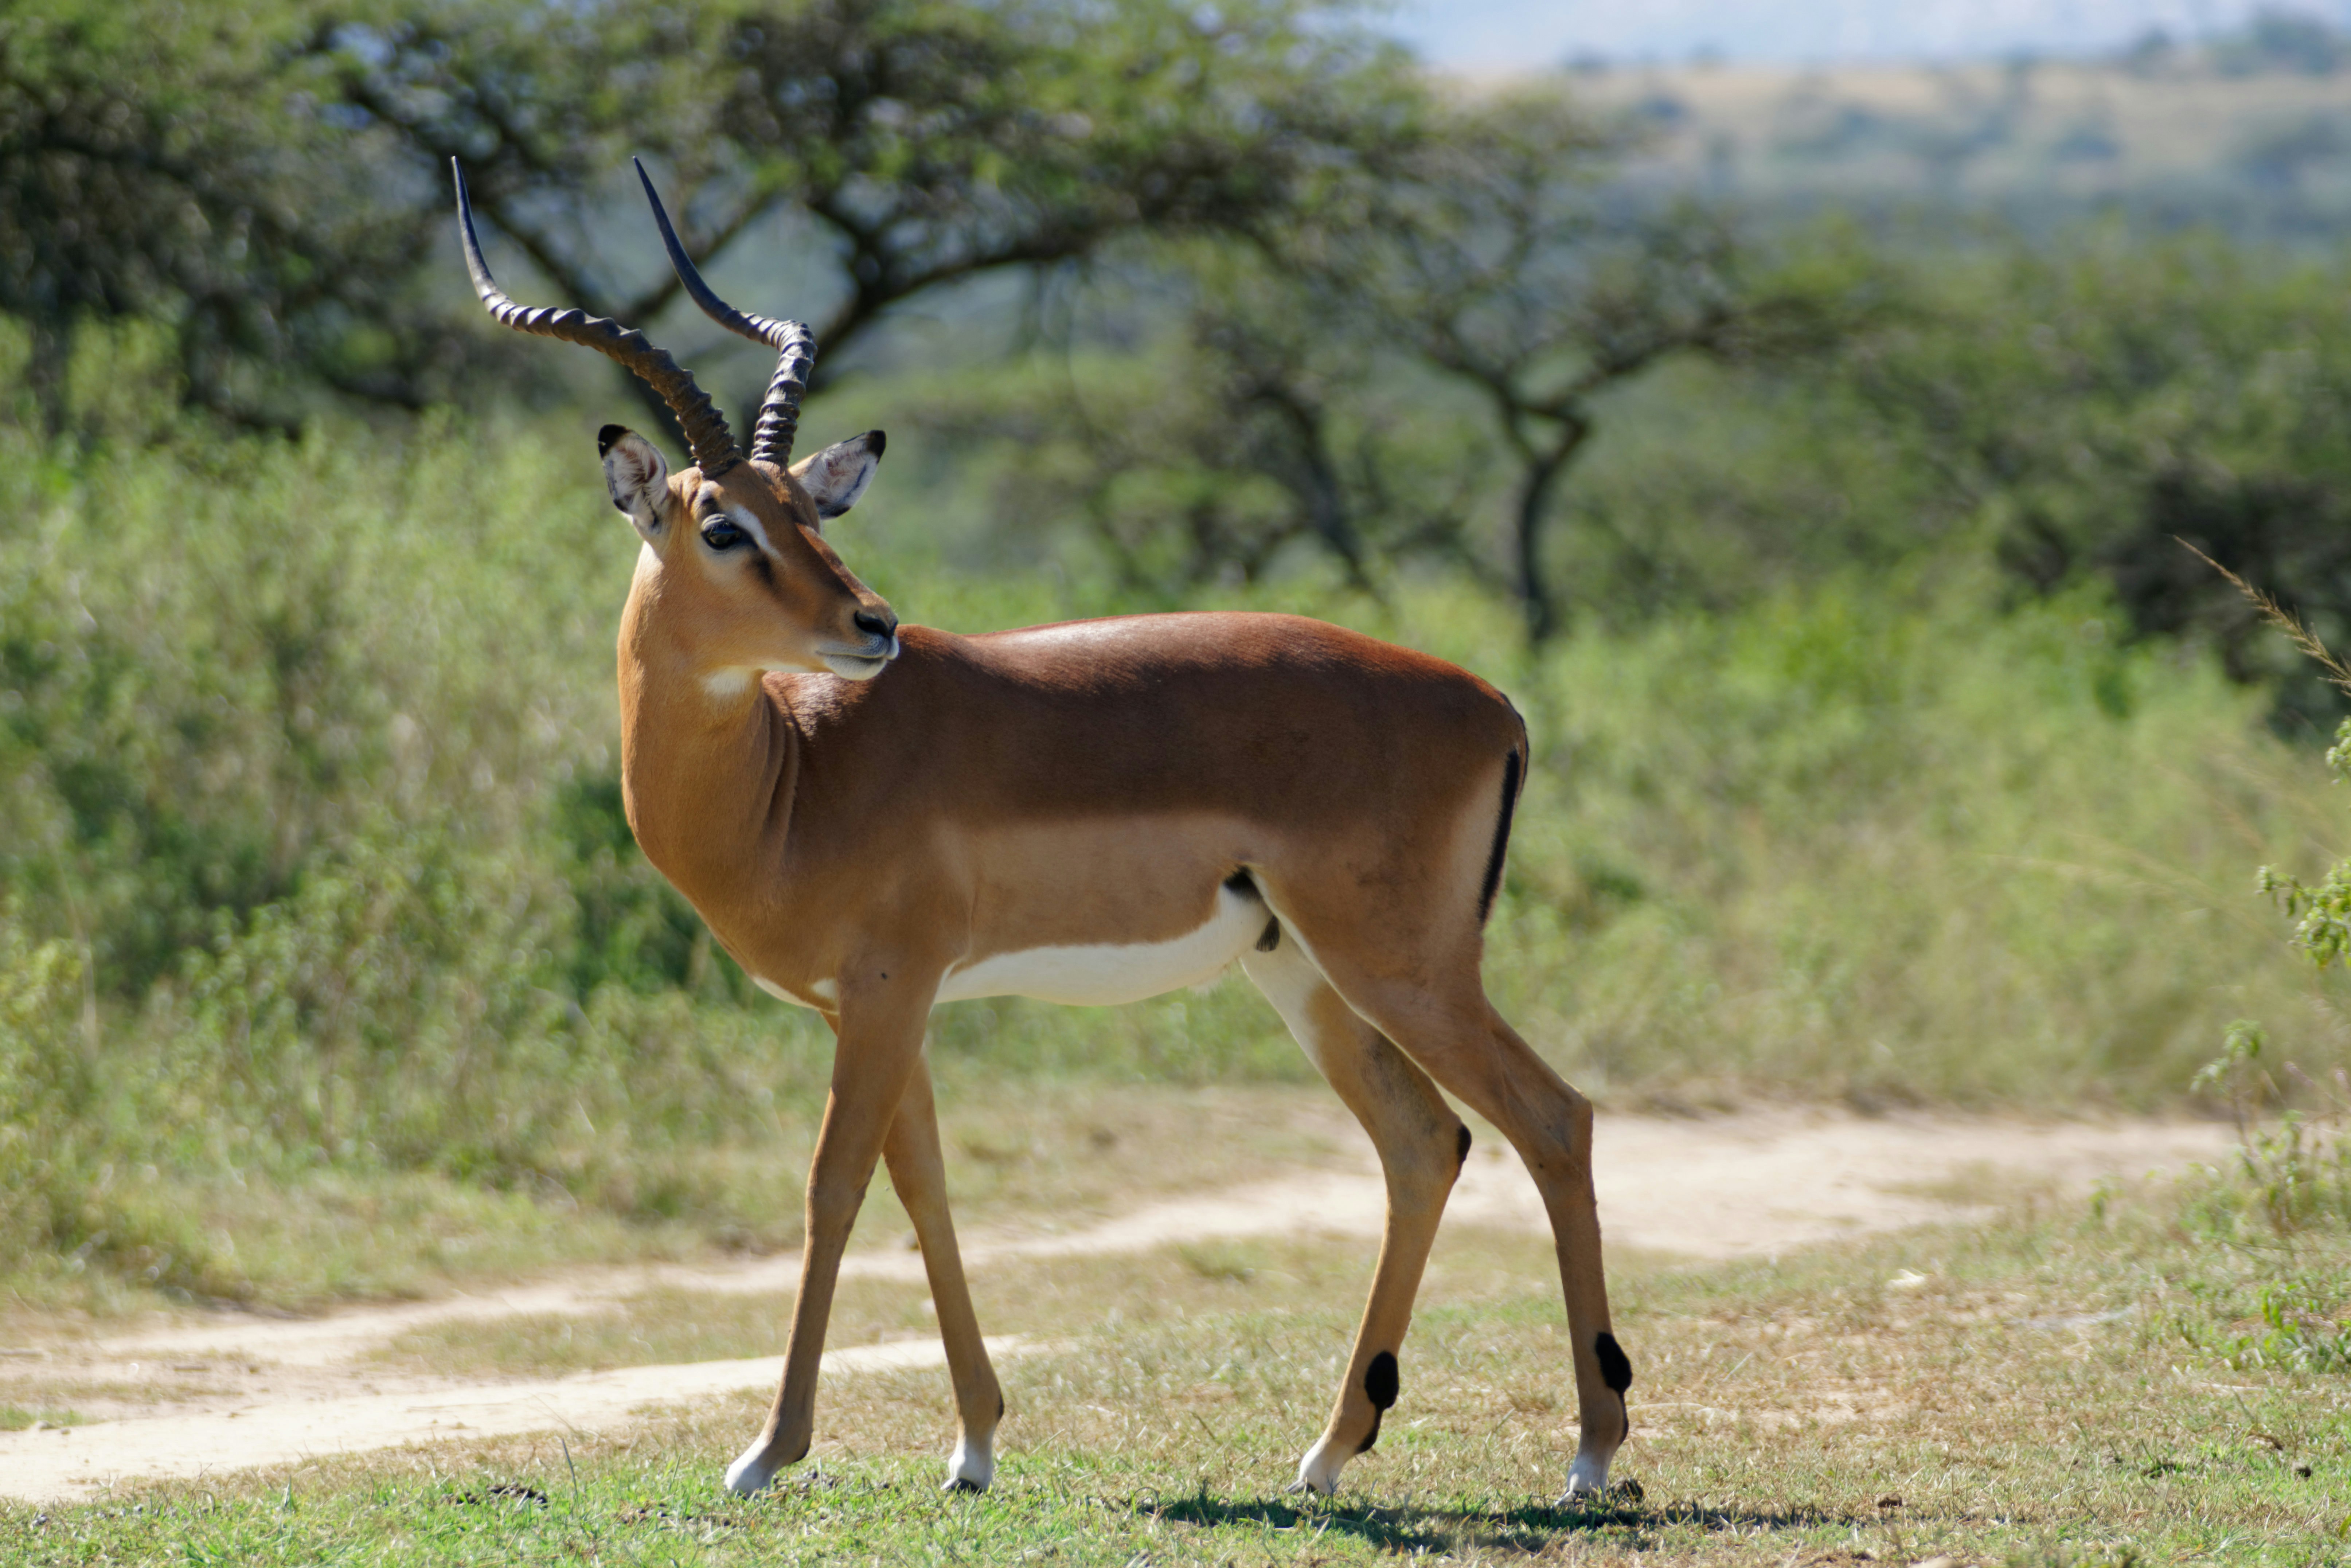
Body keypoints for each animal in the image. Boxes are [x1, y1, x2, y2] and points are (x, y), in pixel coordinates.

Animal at [452, 158, 1632, 1503]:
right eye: (726, 524)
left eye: (810, 510)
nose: (874, 623)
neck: (794, 775)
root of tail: (1493, 702)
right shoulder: (885, 1004)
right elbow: (926, 1188)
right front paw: (972, 1443)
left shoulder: (886, 989)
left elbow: (833, 1187)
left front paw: (767, 1449)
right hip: (1306, 972)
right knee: (1425, 1142)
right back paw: (1332, 1448)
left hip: (1402, 964)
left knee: (1553, 1117)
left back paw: (1592, 1452)